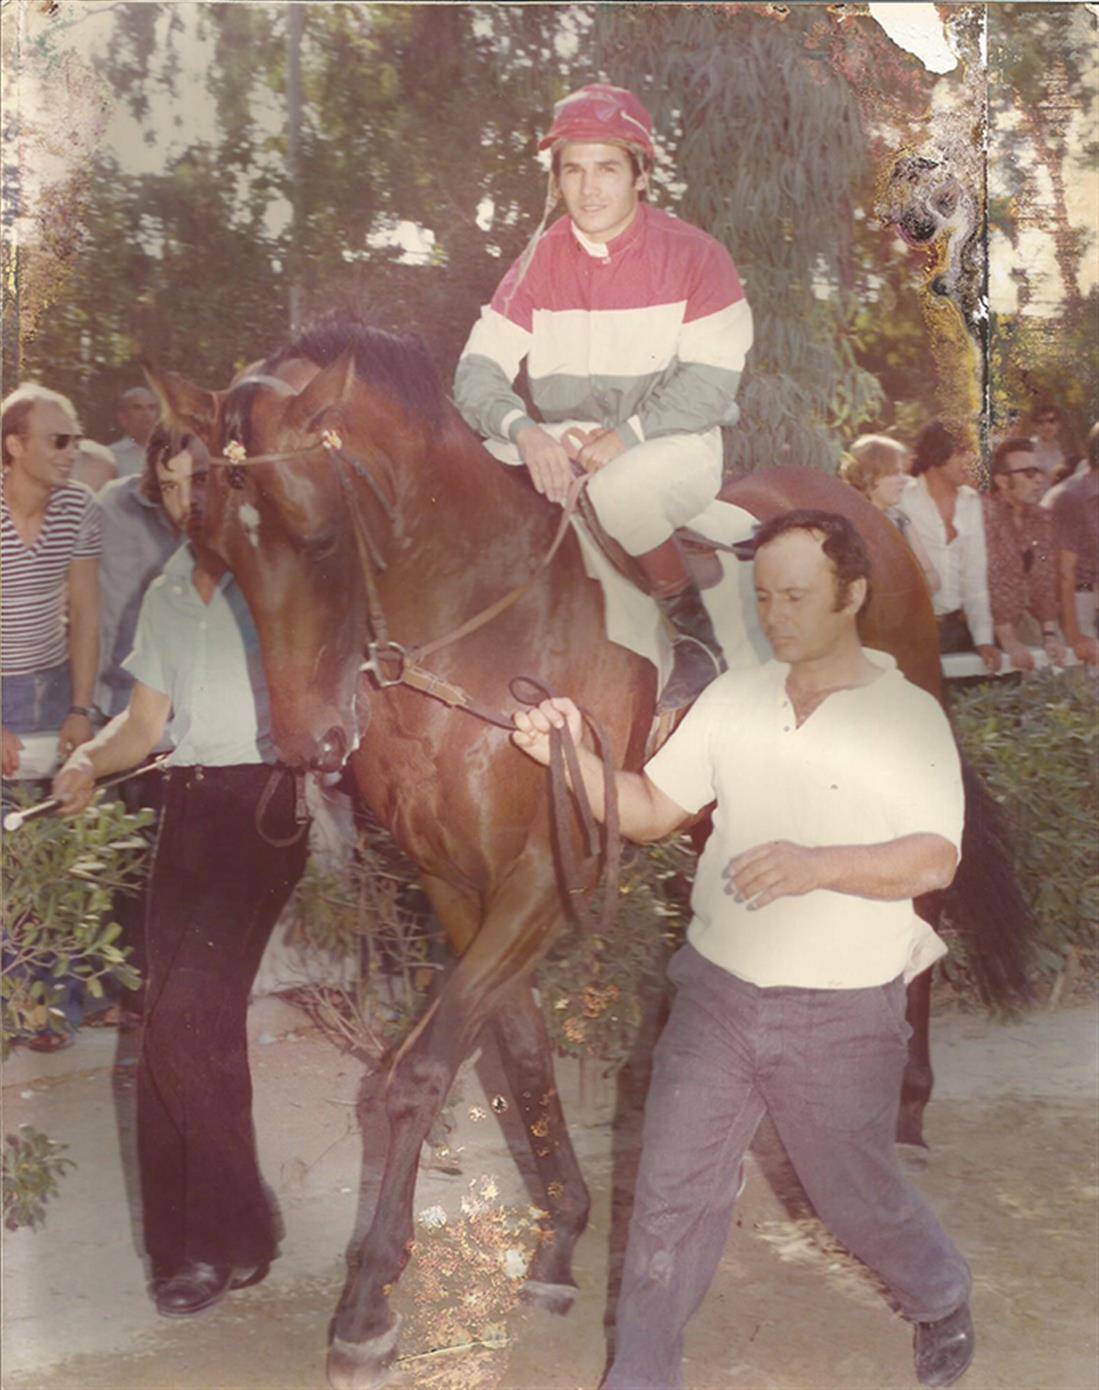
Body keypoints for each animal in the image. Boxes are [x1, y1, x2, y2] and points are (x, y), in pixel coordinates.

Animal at [149, 318, 1029, 1390]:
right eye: (217, 547)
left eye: (315, 537)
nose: (307, 746)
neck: (483, 619)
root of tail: (874, 514)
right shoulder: (457, 883)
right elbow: (518, 1049)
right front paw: (562, 1237)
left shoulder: (540, 880)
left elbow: (414, 1074)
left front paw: (367, 1306)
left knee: (917, 920)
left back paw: (901, 1111)